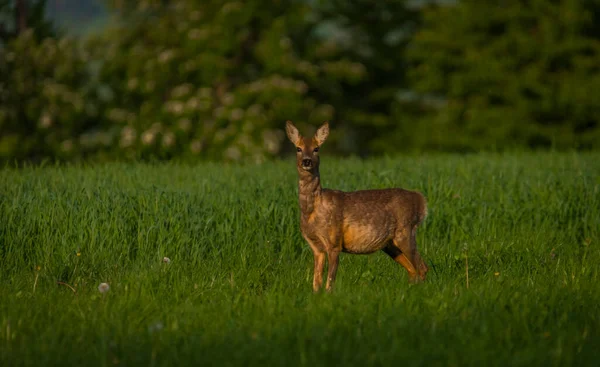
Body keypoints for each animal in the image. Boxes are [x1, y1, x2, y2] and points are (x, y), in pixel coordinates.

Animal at [284, 121, 428, 294]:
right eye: (298, 148)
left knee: (422, 268)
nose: (307, 161)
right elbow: (316, 281)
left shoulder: (334, 242)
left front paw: (328, 296)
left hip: (406, 231)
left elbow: (330, 280)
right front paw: (316, 296)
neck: (312, 210)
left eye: (316, 148)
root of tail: (421, 200)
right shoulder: (316, 247)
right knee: (412, 270)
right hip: (390, 244)